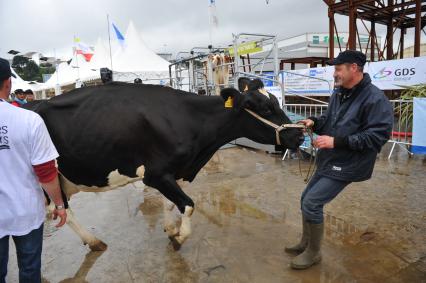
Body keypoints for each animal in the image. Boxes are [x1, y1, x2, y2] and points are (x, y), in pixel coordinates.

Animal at [24, 82, 302, 251]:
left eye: (277, 102)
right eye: (263, 107)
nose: (299, 135)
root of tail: (32, 105)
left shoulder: (175, 172)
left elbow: (171, 204)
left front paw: (170, 228)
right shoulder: (156, 175)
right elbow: (188, 205)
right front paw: (178, 238)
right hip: (46, 175)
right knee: (62, 210)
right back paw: (94, 242)